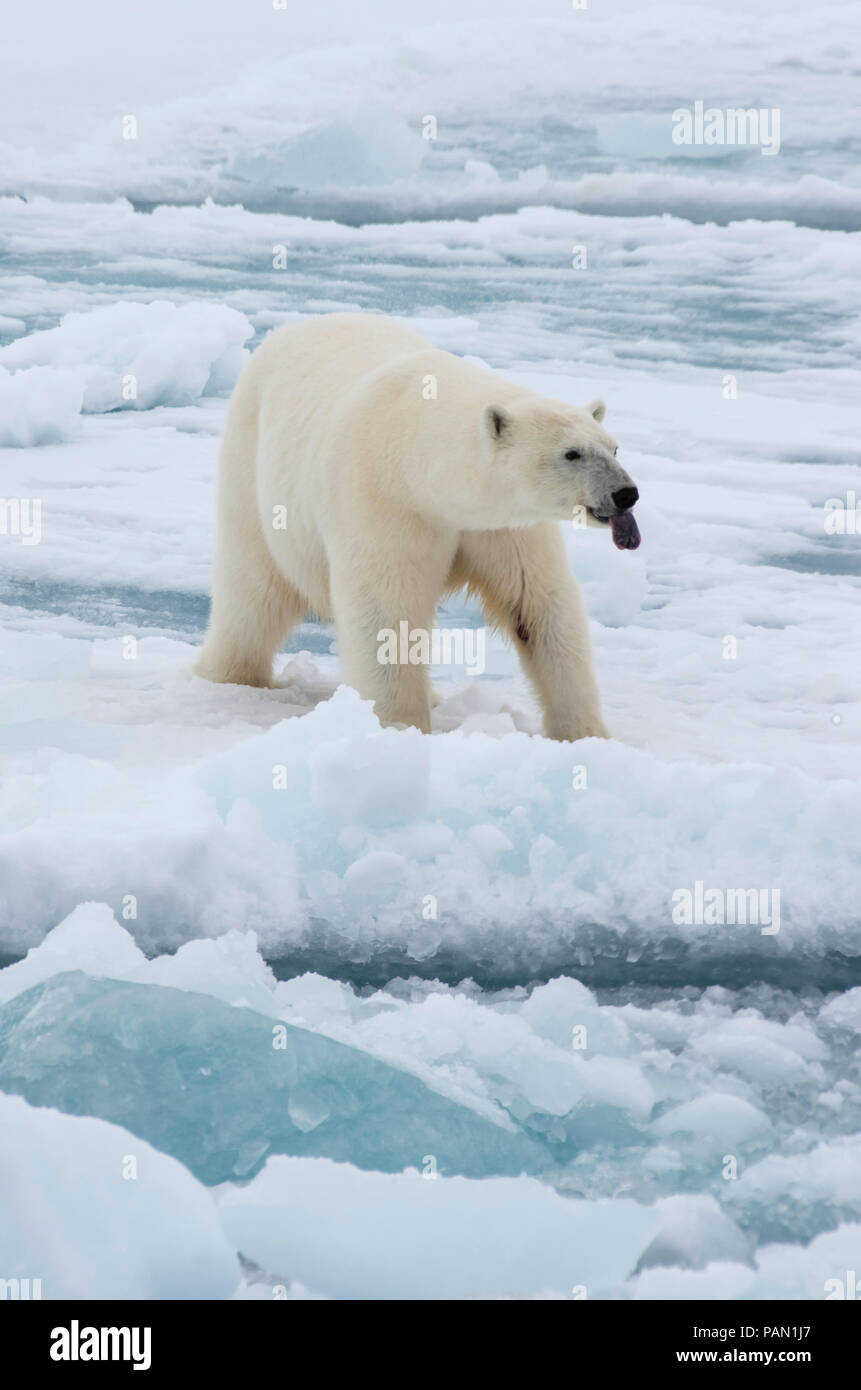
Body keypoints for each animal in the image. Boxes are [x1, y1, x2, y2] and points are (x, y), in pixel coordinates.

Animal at [194, 311, 639, 745]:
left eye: (613, 447)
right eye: (571, 453)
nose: (626, 494)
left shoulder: (503, 526)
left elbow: (538, 604)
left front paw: (585, 733)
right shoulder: (385, 501)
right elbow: (386, 611)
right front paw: (400, 726)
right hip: (252, 467)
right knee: (252, 590)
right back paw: (226, 675)